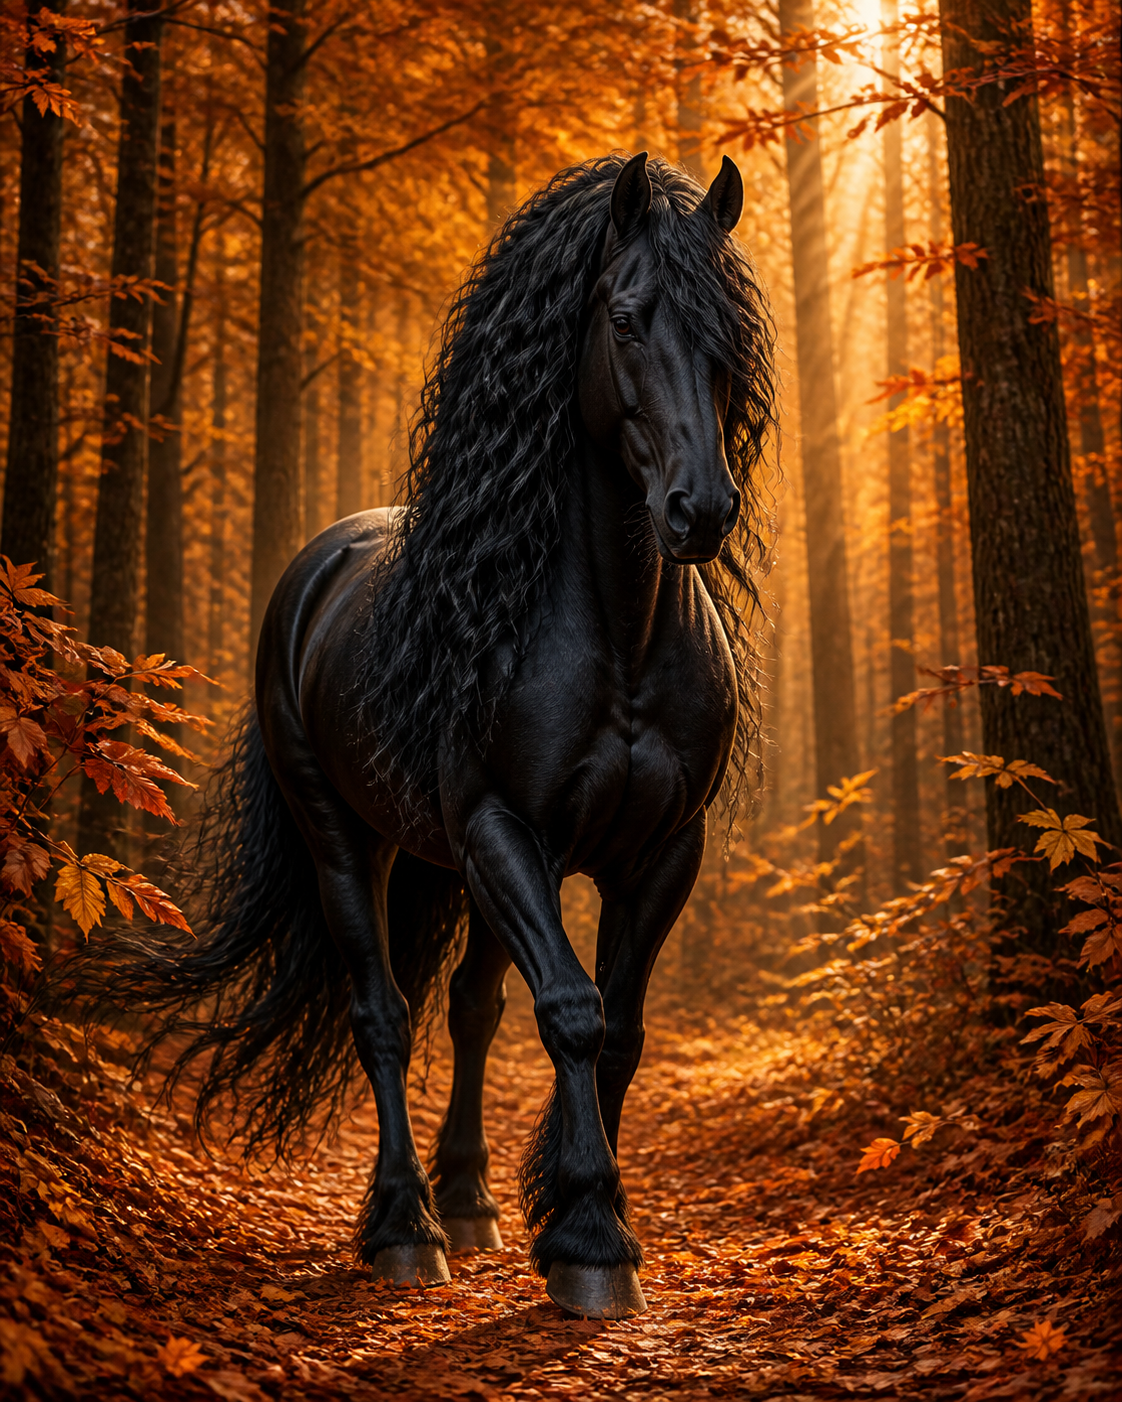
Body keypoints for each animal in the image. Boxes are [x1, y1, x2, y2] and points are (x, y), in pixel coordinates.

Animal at [130, 152, 775, 1320]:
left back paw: (468, 1201)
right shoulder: (500, 828)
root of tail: (318, 567)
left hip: (461, 866)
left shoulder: (660, 852)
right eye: (625, 317)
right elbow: (570, 1009)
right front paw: (590, 1237)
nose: (698, 512)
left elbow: (619, 1026)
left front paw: (577, 1217)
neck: (616, 633)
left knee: (472, 1005)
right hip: (351, 841)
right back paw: (405, 1227)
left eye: (732, 334)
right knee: (382, 1014)